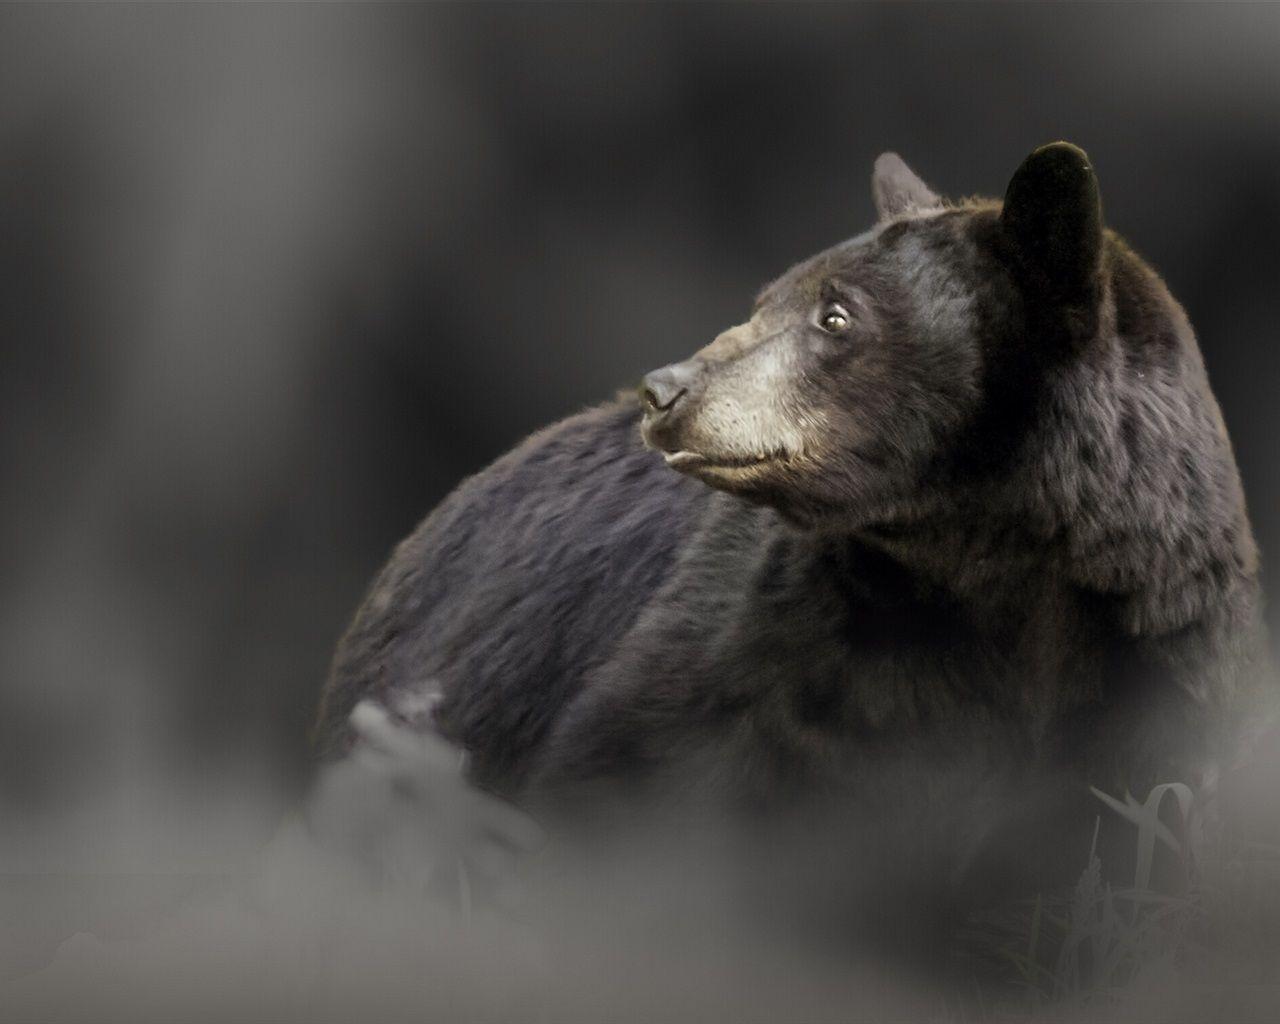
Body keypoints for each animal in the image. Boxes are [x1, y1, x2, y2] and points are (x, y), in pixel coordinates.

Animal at [313, 143, 1272, 961]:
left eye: (836, 314)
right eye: (764, 299)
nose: (667, 390)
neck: (982, 569)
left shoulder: (1157, 666)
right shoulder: (776, 647)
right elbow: (624, 770)